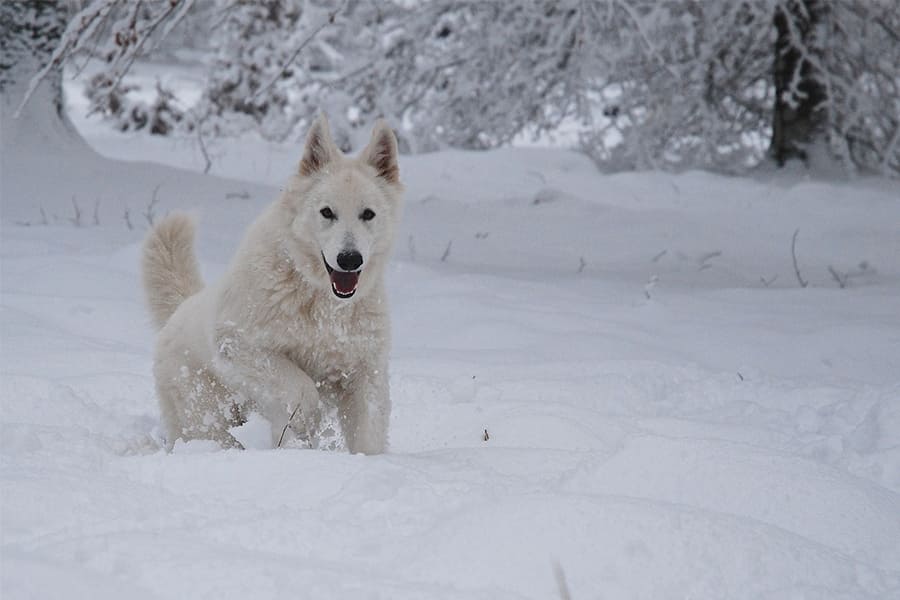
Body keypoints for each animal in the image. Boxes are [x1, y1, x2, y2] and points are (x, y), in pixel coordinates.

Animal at [142, 115, 402, 452]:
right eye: (327, 212)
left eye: (368, 214)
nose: (349, 259)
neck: (320, 301)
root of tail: (179, 310)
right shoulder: (241, 345)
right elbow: (302, 391)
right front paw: (303, 430)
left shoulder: (365, 371)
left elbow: (368, 432)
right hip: (208, 418)